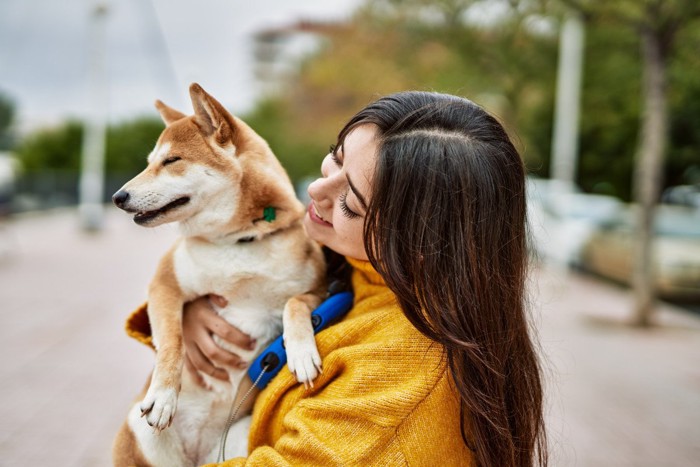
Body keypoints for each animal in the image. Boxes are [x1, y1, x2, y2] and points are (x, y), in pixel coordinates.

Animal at [111, 84, 326, 467]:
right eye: (149, 162)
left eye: (172, 161)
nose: (118, 197)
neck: (238, 241)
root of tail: (196, 455)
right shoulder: (165, 284)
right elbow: (173, 343)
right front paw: (163, 396)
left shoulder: (320, 286)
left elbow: (295, 304)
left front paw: (301, 353)